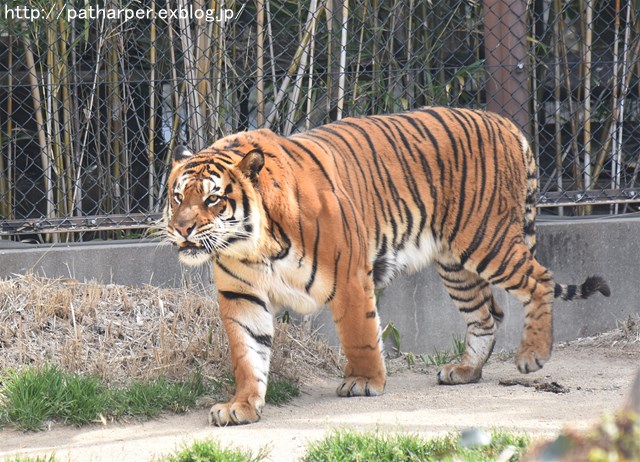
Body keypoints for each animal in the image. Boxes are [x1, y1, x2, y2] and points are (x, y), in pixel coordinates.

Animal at [164, 105, 608, 426]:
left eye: (213, 199)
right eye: (178, 196)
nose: (181, 228)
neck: (253, 247)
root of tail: (507, 124)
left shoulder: (348, 274)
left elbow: (360, 333)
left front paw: (364, 382)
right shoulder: (241, 295)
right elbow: (247, 353)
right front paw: (241, 406)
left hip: (487, 241)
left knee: (540, 279)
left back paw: (533, 355)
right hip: (456, 264)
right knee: (486, 315)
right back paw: (466, 370)